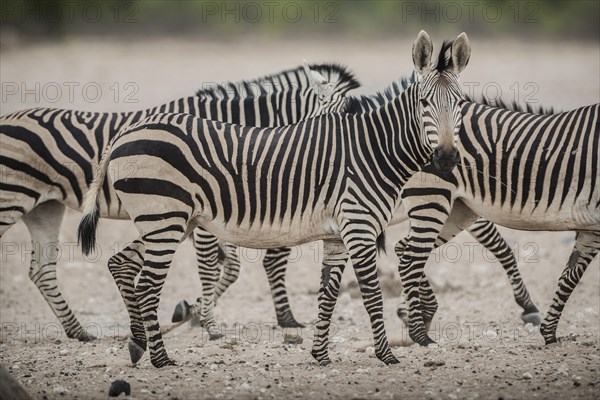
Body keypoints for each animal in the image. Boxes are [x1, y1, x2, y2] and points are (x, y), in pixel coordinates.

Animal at [0, 61, 356, 342]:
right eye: (333, 130)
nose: (341, 169)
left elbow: (230, 268)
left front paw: (191, 312)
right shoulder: (210, 210)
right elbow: (213, 267)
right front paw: (208, 323)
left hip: (45, 207)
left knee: (42, 269)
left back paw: (79, 331)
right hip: (11, 198)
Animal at [76, 30, 468, 368]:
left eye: (461, 104)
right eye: (423, 102)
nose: (447, 158)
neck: (373, 149)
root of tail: (127, 132)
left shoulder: (337, 235)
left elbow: (328, 293)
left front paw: (320, 354)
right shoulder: (359, 227)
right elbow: (371, 293)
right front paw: (386, 355)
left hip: (167, 221)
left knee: (121, 264)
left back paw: (137, 343)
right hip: (164, 220)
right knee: (147, 284)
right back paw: (160, 358)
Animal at [394, 97, 600, 346]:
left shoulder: (592, 229)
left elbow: (570, 276)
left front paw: (549, 335)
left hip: (458, 210)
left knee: (404, 249)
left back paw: (423, 315)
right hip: (433, 198)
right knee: (410, 261)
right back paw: (420, 332)